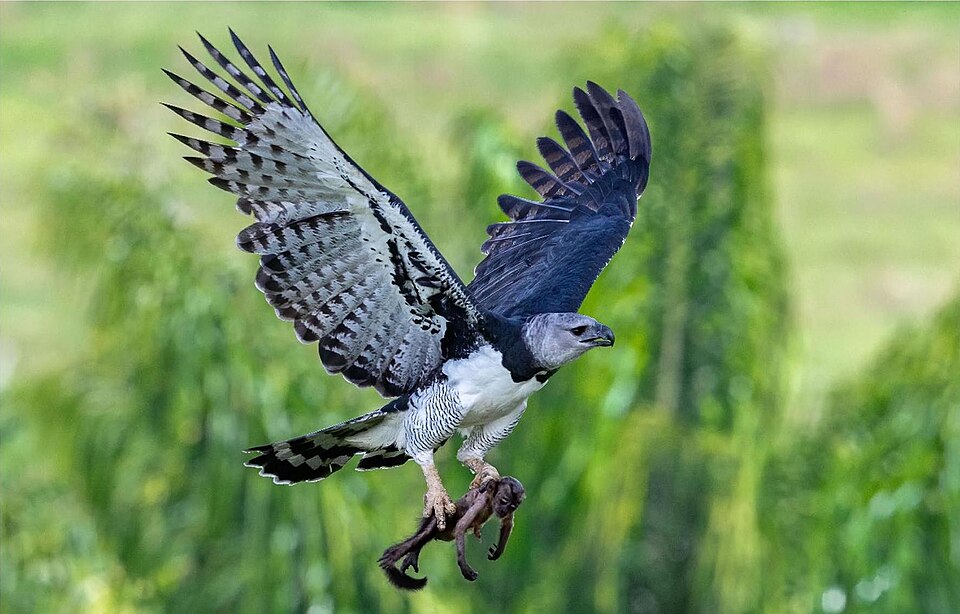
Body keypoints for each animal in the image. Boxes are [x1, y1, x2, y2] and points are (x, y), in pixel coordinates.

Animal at [379, 476, 525, 590]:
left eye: (513, 506)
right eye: (504, 500)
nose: (504, 510)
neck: (490, 501)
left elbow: (507, 524)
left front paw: (498, 551)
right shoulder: (481, 501)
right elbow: (461, 526)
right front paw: (463, 565)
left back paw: (411, 555)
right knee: (425, 533)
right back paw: (392, 556)